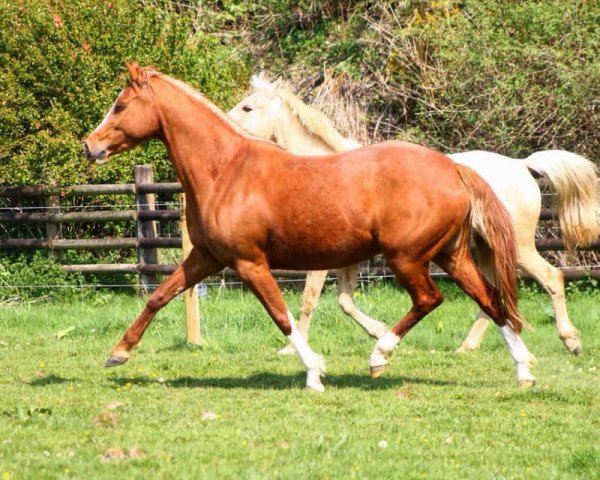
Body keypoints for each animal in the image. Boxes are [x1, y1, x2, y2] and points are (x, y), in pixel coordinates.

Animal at [83, 62, 536, 390]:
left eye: (120, 106)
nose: (90, 146)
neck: (226, 170)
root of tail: (454, 168)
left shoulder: (250, 263)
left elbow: (283, 316)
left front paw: (314, 372)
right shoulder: (208, 257)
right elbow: (159, 296)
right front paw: (118, 353)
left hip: (407, 258)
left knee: (431, 299)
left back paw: (379, 356)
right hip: (451, 255)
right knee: (491, 301)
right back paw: (523, 371)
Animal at [229, 72, 600, 356]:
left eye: (248, 106)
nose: (227, 127)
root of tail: (522, 165)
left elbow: (310, 299)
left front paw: (293, 348)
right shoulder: (348, 258)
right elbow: (345, 301)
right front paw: (380, 334)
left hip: (517, 247)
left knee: (551, 278)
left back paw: (571, 341)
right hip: (482, 248)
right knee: (493, 292)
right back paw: (468, 346)